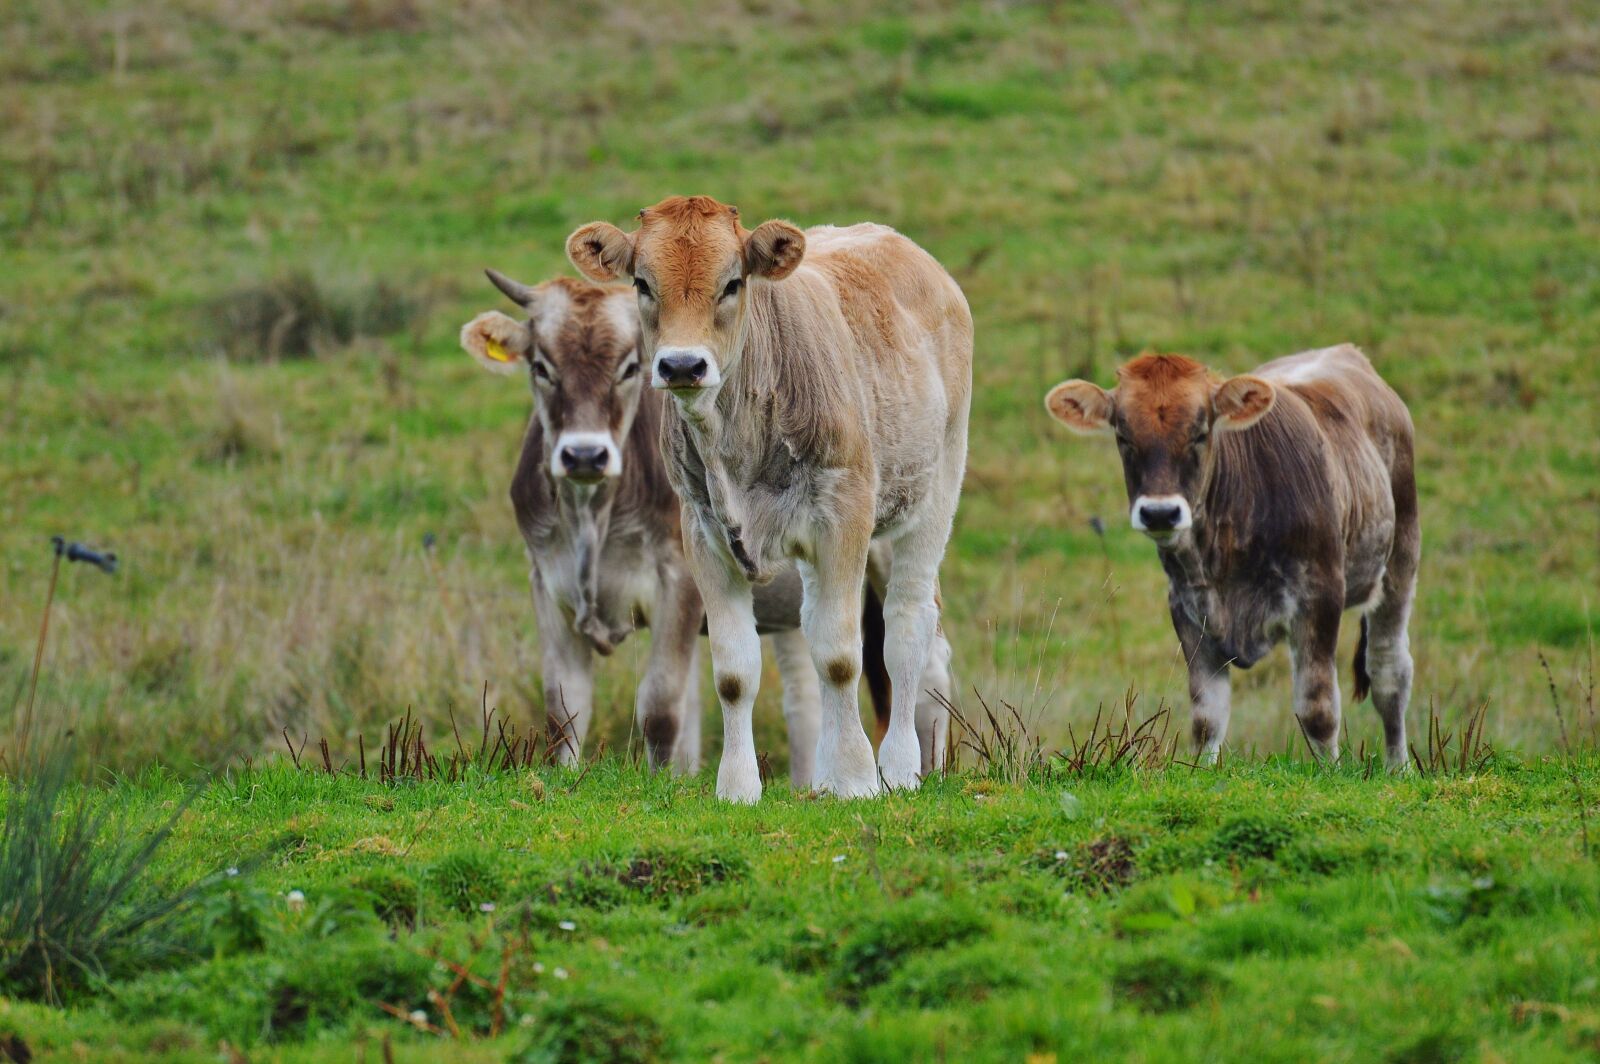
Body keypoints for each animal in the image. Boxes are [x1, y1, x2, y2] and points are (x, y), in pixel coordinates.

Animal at [458, 271, 945, 782]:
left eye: (629, 368)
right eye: (541, 366)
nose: (585, 455)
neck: (593, 517)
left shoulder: (679, 580)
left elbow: (661, 707)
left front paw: (661, 784)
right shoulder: (547, 580)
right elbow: (564, 707)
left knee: (924, 654)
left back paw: (924, 771)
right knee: (805, 693)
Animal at [566, 195, 972, 802]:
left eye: (732, 283)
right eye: (642, 282)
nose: (682, 365)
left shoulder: (843, 516)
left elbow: (840, 656)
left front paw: (858, 778)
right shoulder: (703, 533)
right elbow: (735, 671)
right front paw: (739, 787)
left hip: (932, 492)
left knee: (907, 628)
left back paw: (901, 768)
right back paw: (824, 775)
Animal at [1045, 345, 1418, 769]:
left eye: (1201, 433)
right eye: (1123, 436)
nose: (1160, 513)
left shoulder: (1320, 595)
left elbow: (1318, 710)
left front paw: (1331, 772)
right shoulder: (1187, 607)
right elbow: (1208, 715)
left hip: (1400, 559)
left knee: (1389, 671)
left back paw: (1398, 766)